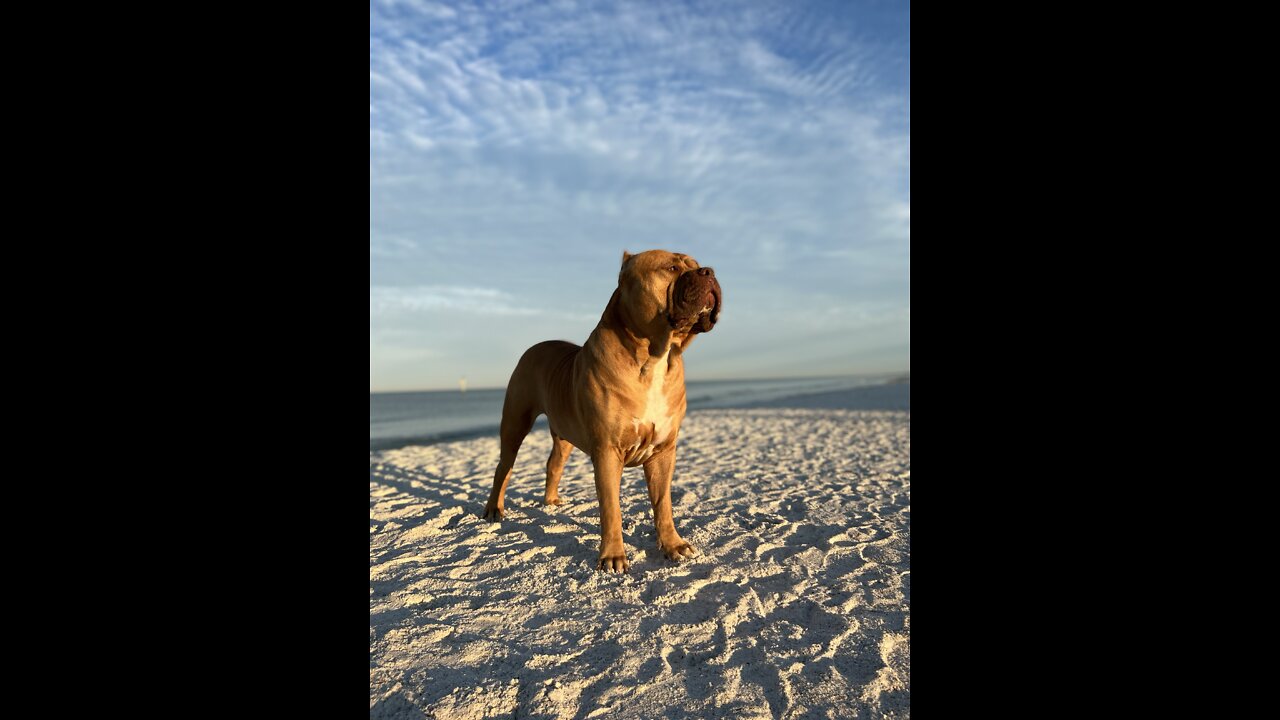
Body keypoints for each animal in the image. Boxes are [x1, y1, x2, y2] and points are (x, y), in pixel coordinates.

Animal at [481, 248, 721, 571]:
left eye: (696, 266)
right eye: (671, 268)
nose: (709, 272)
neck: (655, 357)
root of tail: (535, 347)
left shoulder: (663, 452)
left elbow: (663, 504)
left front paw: (673, 545)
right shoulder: (608, 452)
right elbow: (611, 509)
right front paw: (613, 556)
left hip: (564, 434)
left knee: (553, 464)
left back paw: (551, 501)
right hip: (514, 424)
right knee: (503, 468)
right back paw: (494, 509)